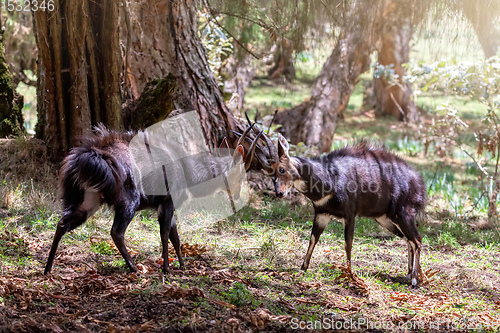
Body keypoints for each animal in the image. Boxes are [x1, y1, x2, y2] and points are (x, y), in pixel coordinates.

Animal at [44, 123, 262, 274]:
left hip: (89, 201)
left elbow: (175, 235)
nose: (237, 196)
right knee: (116, 232)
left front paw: (182, 266)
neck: (186, 169)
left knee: (62, 223)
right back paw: (134, 268)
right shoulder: (167, 202)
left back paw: (47, 269)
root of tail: (88, 157)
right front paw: (166, 268)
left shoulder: (165, 206)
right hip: (128, 202)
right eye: (240, 175)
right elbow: (165, 233)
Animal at [238, 120, 426, 286]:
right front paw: (302, 269)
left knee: (417, 239)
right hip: (385, 219)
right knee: (408, 239)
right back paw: (410, 273)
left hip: (402, 213)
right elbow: (312, 240)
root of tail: (419, 183)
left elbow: (348, 244)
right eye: (271, 175)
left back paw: (415, 280)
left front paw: (350, 274)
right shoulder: (322, 214)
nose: (279, 193)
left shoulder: (350, 214)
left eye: (282, 169)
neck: (330, 178)